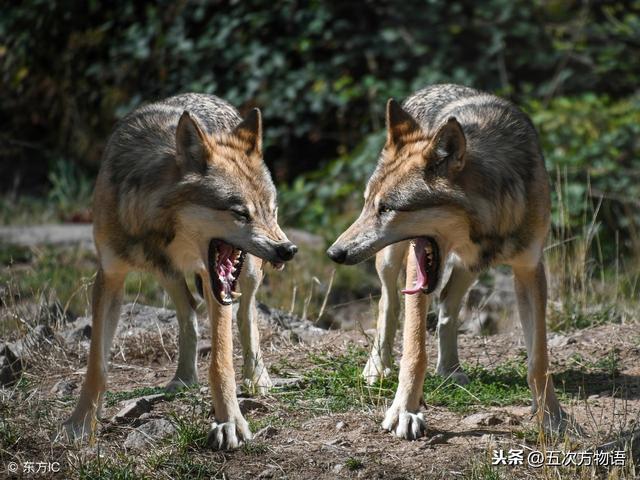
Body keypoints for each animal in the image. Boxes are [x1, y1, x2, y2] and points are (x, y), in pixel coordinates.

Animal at [62, 94, 298, 450]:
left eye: (269, 210)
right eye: (240, 213)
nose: (288, 250)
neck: (159, 228)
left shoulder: (217, 285)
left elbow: (220, 362)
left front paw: (229, 421)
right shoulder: (110, 277)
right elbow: (96, 365)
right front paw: (81, 423)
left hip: (247, 273)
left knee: (247, 315)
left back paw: (256, 377)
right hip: (169, 277)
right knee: (188, 313)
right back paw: (184, 378)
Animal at [328, 85, 568, 438]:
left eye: (386, 208)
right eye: (369, 205)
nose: (334, 253)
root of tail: (432, 87)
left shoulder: (529, 269)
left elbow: (539, 359)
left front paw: (551, 416)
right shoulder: (418, 264)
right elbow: (414, 351)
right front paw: (404, 411)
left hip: (470, 268)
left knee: (447, 307)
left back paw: (451, 368)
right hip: (391, 261)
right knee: (389, 304)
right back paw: (377, 366)